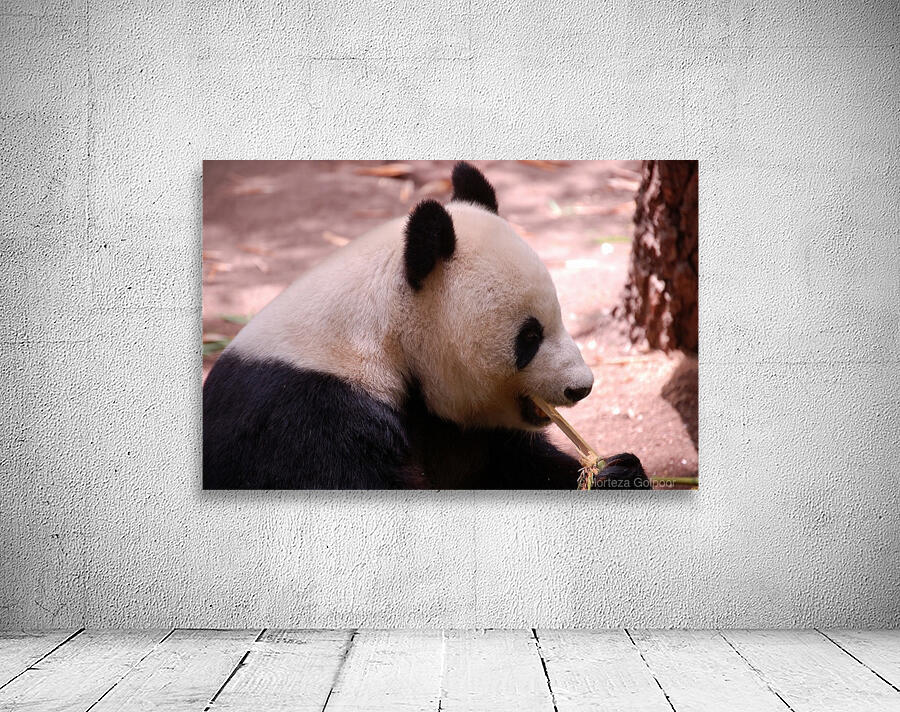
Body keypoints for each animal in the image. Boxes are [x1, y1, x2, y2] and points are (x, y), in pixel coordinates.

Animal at [203, 162, 648, 489]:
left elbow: (516, 465)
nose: (581, 387)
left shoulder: (459, 428)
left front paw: (617, 471)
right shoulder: (309, 417)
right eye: (530, 336)